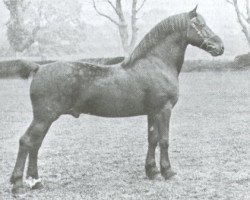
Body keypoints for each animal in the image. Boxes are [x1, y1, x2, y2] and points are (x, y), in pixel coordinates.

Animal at [3, 7, 223, 195]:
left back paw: (35, 182)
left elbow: (152, 139)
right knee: (27, 142)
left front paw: (152, 172)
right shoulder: (164, 110)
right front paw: (168, 172)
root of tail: (39, 67)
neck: (156, 63)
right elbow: (164, 140)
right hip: (44, 117)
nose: (220, 47)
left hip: (45, 118)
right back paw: (19, 185)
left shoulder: (152, 112)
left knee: (35, 144)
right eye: (200, 24)